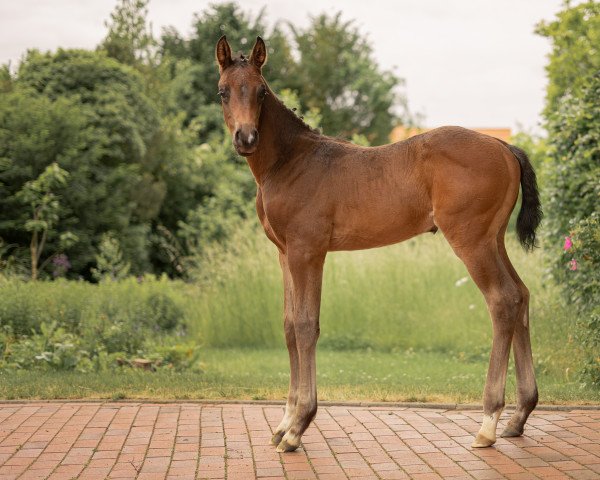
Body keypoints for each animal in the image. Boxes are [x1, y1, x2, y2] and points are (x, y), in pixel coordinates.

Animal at [217, 35, 544, 452]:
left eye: (261, 92)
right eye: (223, 91)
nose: (246, 138)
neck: (290, 161)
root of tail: (505, 147)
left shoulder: (308, 252)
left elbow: (306, 326)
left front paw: (298, 426)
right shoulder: (285, 253)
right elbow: (290, 326)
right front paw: (284, 422)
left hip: (472, 241)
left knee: (502, 301)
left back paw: (488, 423)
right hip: (494, 240)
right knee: (521, 295)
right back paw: (519, 416)